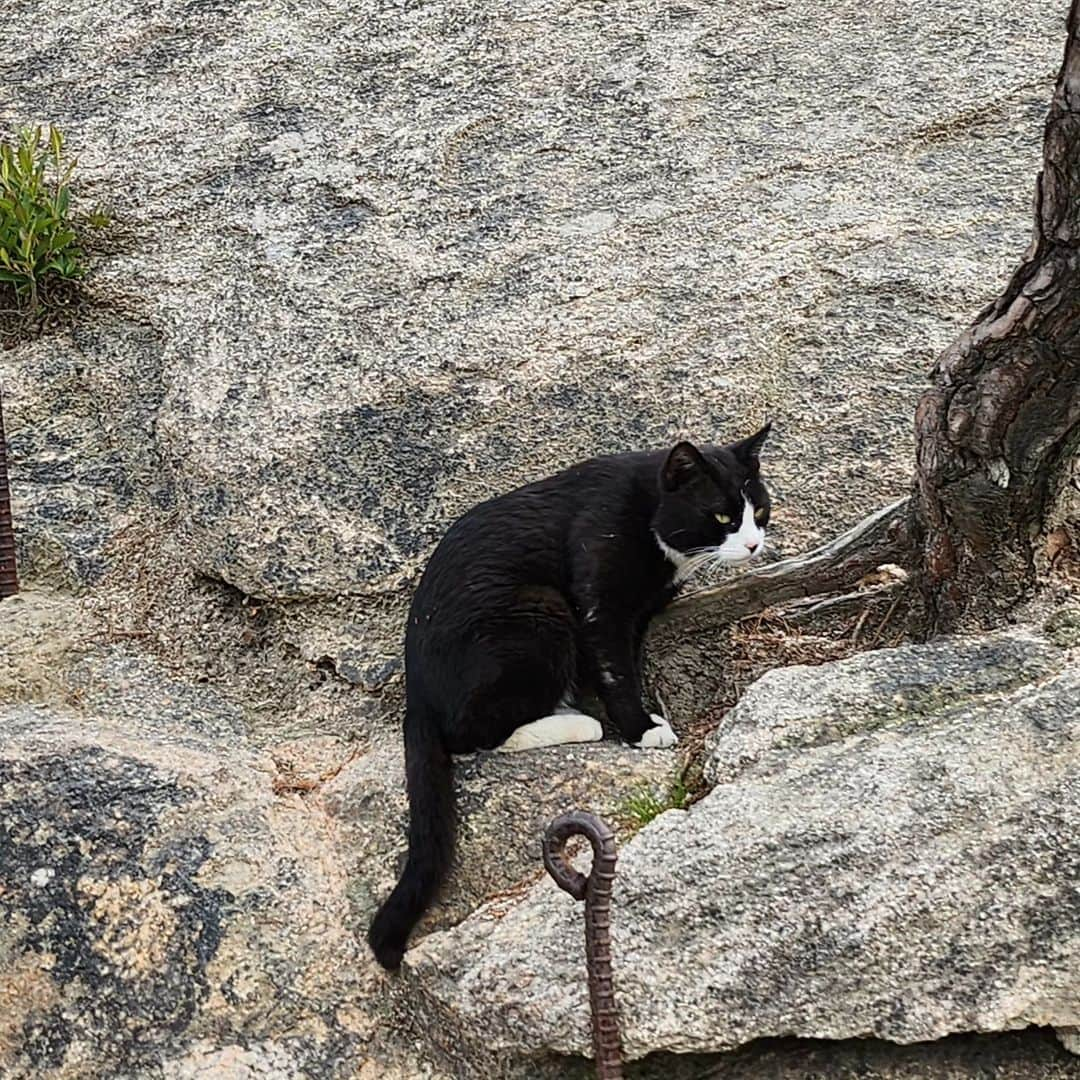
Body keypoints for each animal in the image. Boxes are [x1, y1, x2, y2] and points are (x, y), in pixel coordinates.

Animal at [367, 423, 773, 972]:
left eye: (761, 511)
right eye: (723, 516)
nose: (753, 544)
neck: (650, 518)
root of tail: (417, 695)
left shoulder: (640, 614)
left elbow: (625, 661)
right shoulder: (599, 598)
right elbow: (615, 668)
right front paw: (640, 728)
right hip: (539, 610)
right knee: (470, 733)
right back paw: (575, 722)